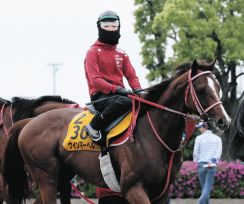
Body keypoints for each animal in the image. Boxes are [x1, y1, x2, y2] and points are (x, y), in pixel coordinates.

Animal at [2, 59, 230, 203]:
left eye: (218, 87)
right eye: (201, 90)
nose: (223, 121)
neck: (154, 135)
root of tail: (30, 122)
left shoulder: (162, 193)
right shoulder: (133, 189)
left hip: (59, 176)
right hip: (46, 176)